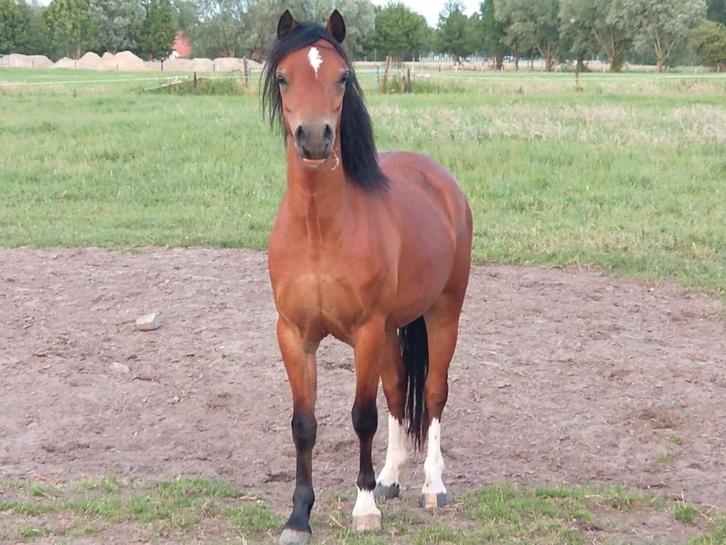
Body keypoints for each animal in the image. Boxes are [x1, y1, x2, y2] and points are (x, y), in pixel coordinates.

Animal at [263, 10, 472, 545]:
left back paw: (432, 487)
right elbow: (304, 423)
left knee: (434, 394)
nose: (315, 137)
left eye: (341, 77)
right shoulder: (294, 336)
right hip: (396, 327)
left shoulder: (367, 331)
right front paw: (299, 516)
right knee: (399, 392)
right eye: (283, 77)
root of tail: (439, 179)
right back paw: (390, 479)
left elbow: (363, 417)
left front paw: (363, 509)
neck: (320, 230)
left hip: (444, 312)